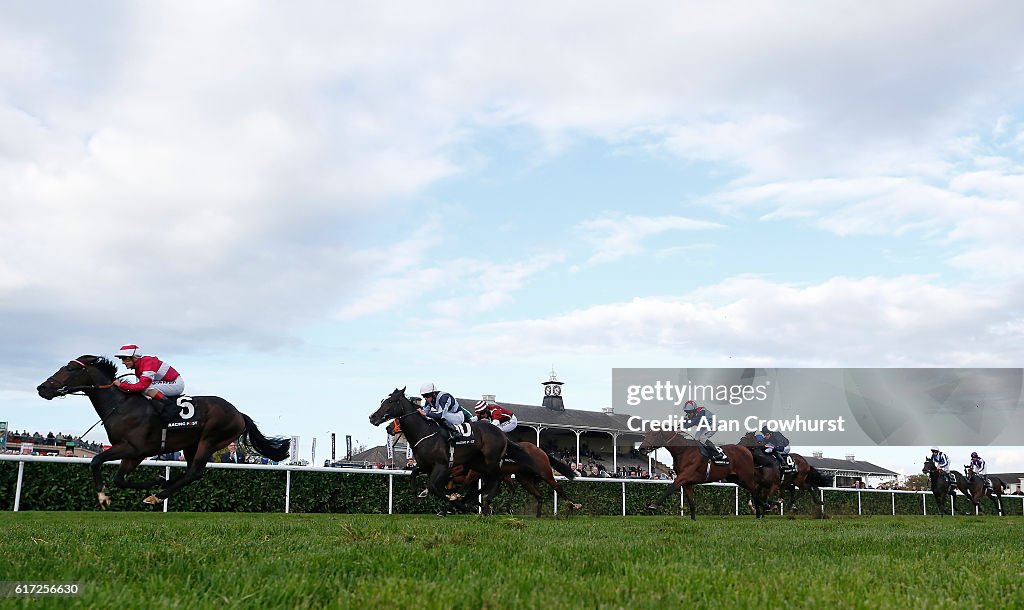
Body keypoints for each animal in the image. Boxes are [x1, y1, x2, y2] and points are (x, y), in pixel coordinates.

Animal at [37, 354, 290, 507]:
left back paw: (157, 496)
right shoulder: (134, 454)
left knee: (194, 472)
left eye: (69, 369)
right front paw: (157, 479)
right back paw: (163, 487)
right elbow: (120, 479)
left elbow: (96, 461)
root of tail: (239, 413)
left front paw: (102, 497)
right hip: (191, 444)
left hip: (210, 439)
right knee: (192, 472)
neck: (121, 405)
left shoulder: (132, 448)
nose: (42, 388)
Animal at [638, 429, 774, 519]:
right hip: (736, 478)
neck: (684, 450)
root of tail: (747, 450)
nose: (641, 449)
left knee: (755, 490)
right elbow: (691, 502)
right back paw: (761, 512)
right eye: (646, 434)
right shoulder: (687, 482)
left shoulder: (684, 476)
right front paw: (693, 520)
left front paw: (653, 505)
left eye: (654, 434)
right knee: (754, 490)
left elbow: (671, 488)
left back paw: (765, 507)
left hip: (745, 477)